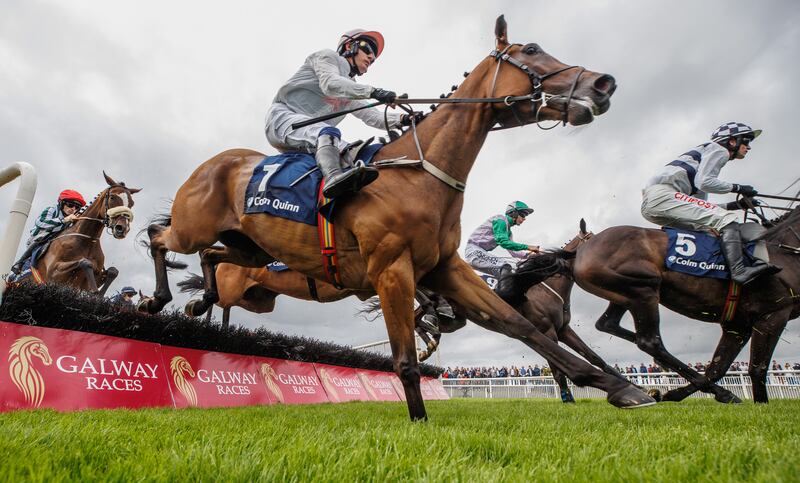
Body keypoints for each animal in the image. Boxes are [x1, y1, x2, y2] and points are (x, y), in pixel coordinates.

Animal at [141, 16, 656, 420]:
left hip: (250, 252)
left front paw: (623, 388)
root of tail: (214, 163)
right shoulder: (392, 269)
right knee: (159, 235)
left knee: (212, 258)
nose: (603, 84)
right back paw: (159, 300)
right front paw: (419, 420)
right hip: (194, 227)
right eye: (530, 50)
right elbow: (405, 358)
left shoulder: (444, 267)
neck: (417, 174)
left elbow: (519, 325)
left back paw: (199, 302)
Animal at [568, 208, 800, 404]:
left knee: (608, 324)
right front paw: (761, 403)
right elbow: (757, 368)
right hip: (643, 289)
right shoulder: (773, 313)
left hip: (626, 292)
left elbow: (718, 368)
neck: (784, 252)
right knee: (650, 341)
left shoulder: (738, 324)